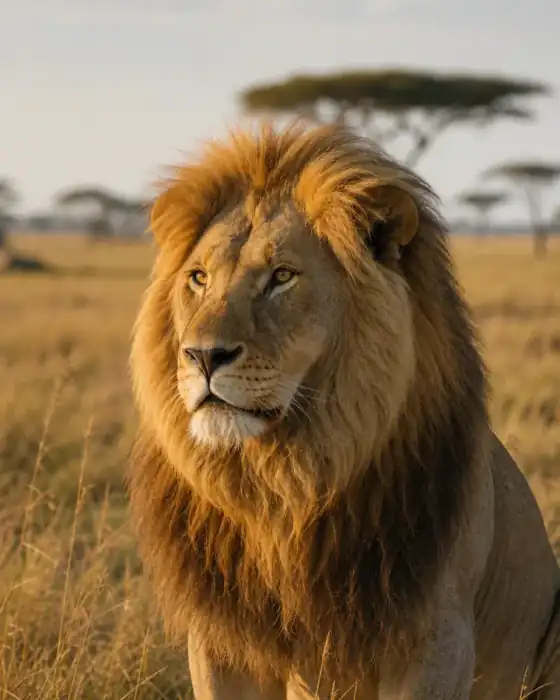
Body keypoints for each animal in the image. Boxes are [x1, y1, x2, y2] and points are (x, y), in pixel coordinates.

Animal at [127, 121, 560, 700]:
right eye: (198, 278)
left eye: (282, 276)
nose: (202, 356)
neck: (286, 484)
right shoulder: (220, 636)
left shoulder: (437, 637)